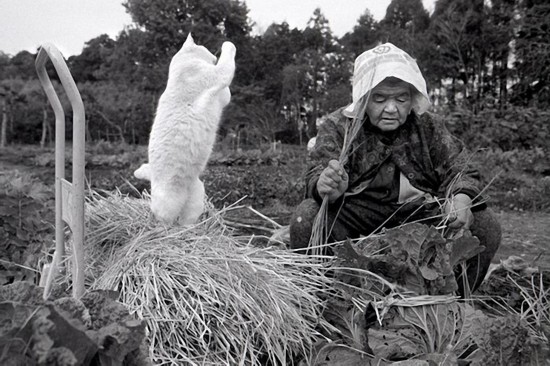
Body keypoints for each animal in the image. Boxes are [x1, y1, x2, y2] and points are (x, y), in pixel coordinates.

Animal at [136, 33, 237, 223]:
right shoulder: (217, 75)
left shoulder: (220, 95)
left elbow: (226, 94)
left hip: (196, 195)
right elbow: (227, 59)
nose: (213, 56)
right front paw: (227, 43)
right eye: (205, 47)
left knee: (187, 220)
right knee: (164, 220)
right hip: (168, 203)